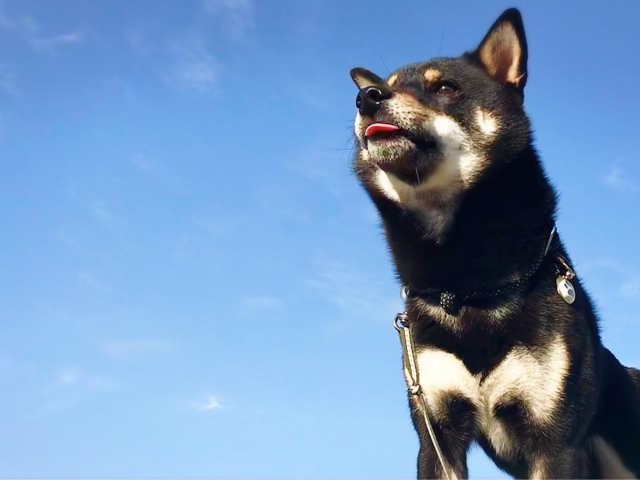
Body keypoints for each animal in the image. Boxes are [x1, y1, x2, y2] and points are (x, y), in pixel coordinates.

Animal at [350, 7, 640, 480]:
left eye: (444, 88)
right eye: (386, 83)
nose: (367, 97)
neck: (469, 286)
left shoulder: (554, 444)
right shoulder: (437, 436)